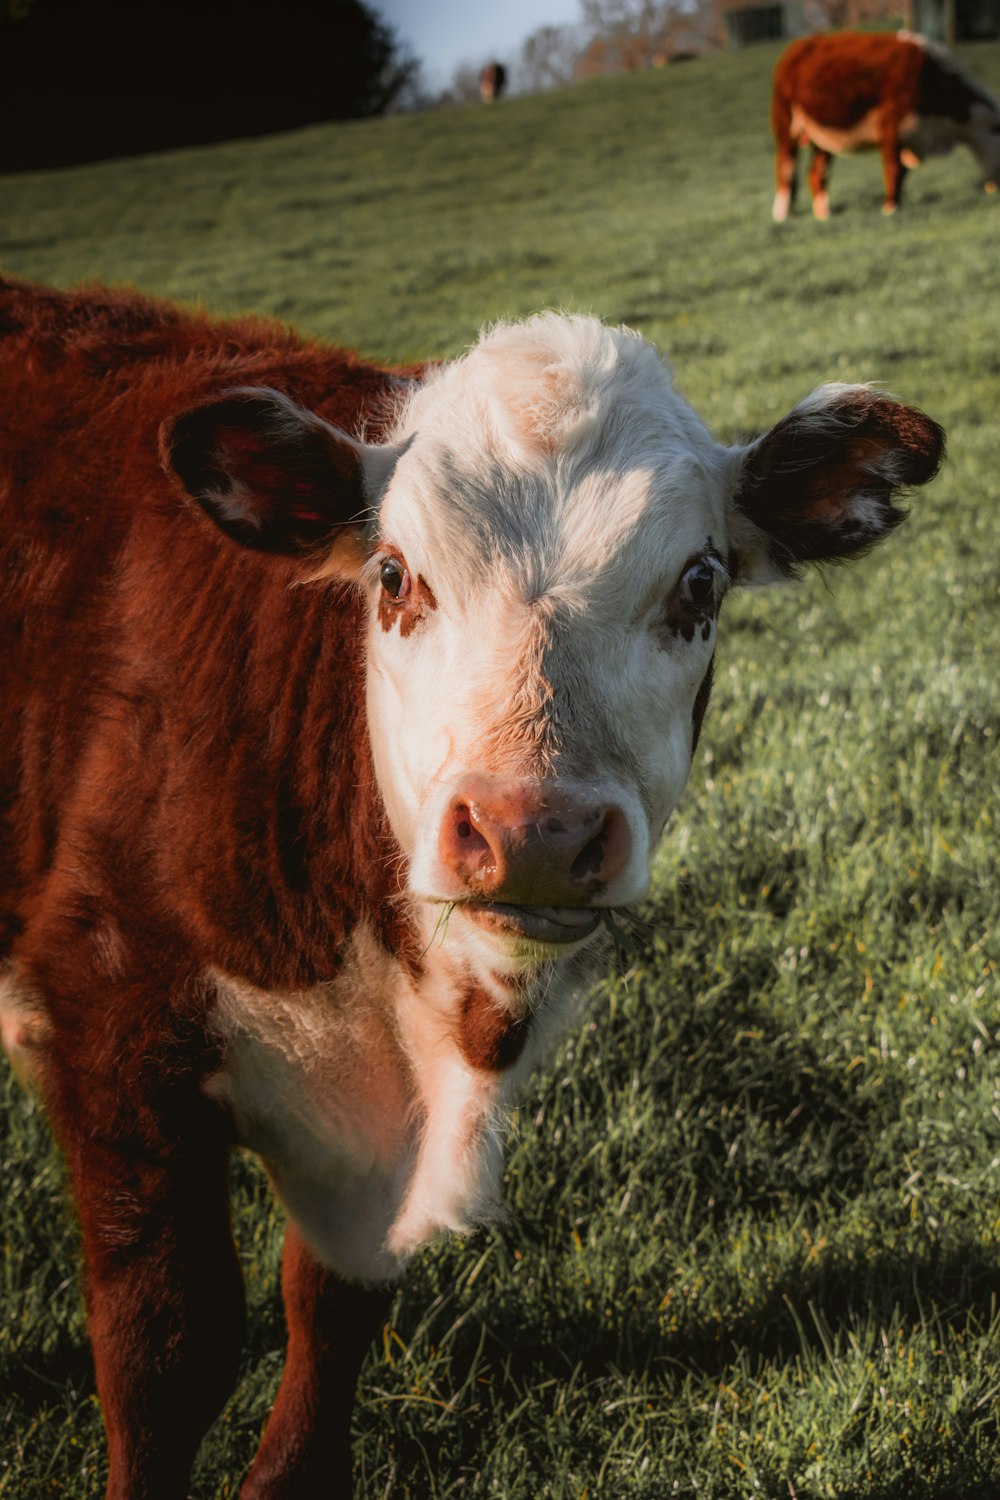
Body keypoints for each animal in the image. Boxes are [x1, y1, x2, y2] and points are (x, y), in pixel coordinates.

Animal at [0, 276, 947, 1494]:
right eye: (395, 576)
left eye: (699, 581)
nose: (531, 832)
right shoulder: (109, 1019)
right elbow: (169, 1348)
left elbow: (332, 1304)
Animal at [773, 28, 1000, 219]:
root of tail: (800, 44)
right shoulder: (892, 126)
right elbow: (894, 169)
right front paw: (890, 209)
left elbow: (903, 172)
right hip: (787, 123)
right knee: (786, 168)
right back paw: (781, 216)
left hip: (822, 136)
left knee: (817, 173)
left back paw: (824, 216)